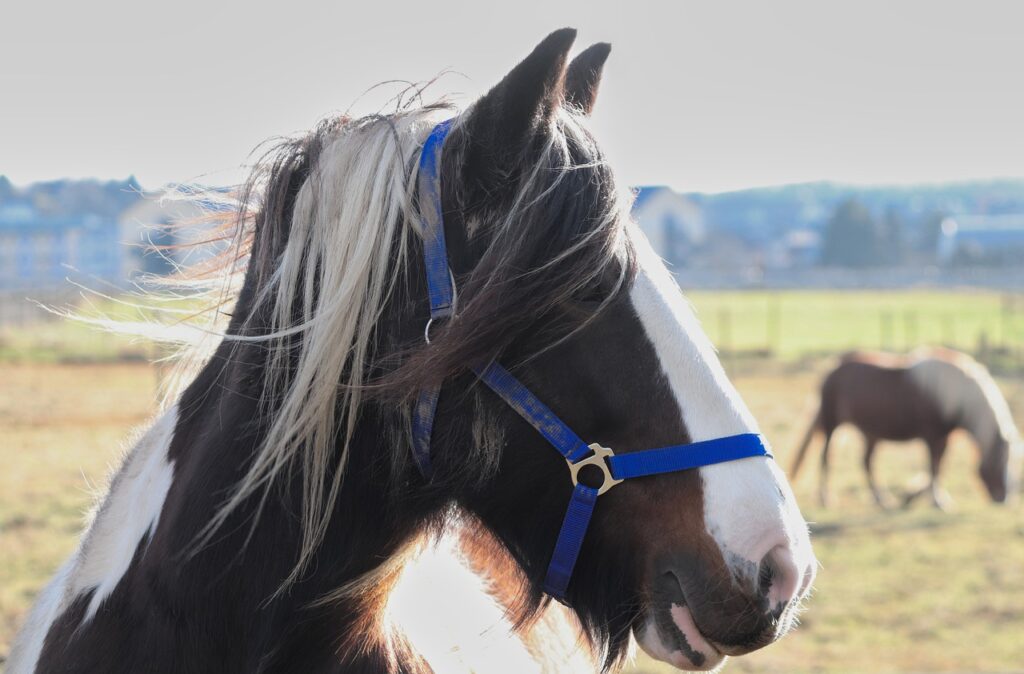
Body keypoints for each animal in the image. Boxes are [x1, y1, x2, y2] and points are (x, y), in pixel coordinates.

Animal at [790, 348, 1015, 506]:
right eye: (1000, 463)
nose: (1004, 499)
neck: (956, 397)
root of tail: (832, 367)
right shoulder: (932, 436)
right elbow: (934, 467)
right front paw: (937, 500)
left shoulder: (944, 437)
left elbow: (938, 467)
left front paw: (915, 494)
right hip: (832, 424)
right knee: (826, 457)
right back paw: (825, 498)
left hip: (870, 433)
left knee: (866, 462)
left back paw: (880, 498)